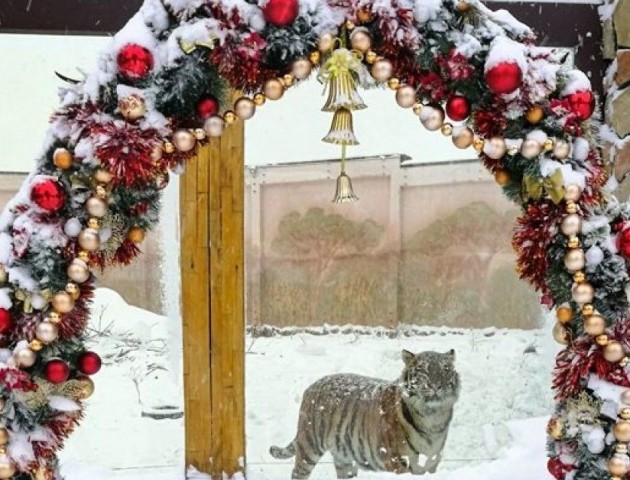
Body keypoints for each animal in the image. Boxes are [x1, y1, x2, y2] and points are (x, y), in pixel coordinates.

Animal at [270, 348, 462, 480]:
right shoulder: (397, 462)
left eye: (445, 370)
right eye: (423, 370)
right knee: (298, 472)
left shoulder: (432, 462)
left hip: (343, 456)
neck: (432, 416)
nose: (436, 386)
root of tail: (312, 385)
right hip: (309, 445)